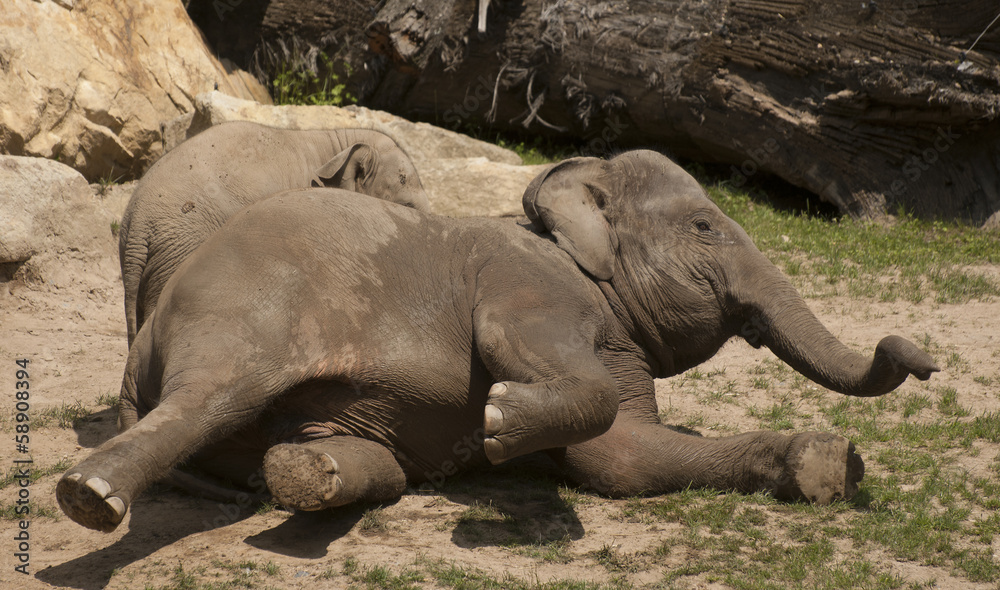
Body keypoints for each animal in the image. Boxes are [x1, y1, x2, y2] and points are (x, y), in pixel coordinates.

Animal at [57, 150, 939, 532]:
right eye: (704, 227)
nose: (922, 354)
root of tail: (137, 352)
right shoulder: (527, 279)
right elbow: (602, 446)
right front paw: (503, 420)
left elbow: (624, 459)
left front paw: (831, 466)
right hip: (243, 309)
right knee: (211, 394)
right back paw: (90, 497)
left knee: (318, 454)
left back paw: (314, 475)